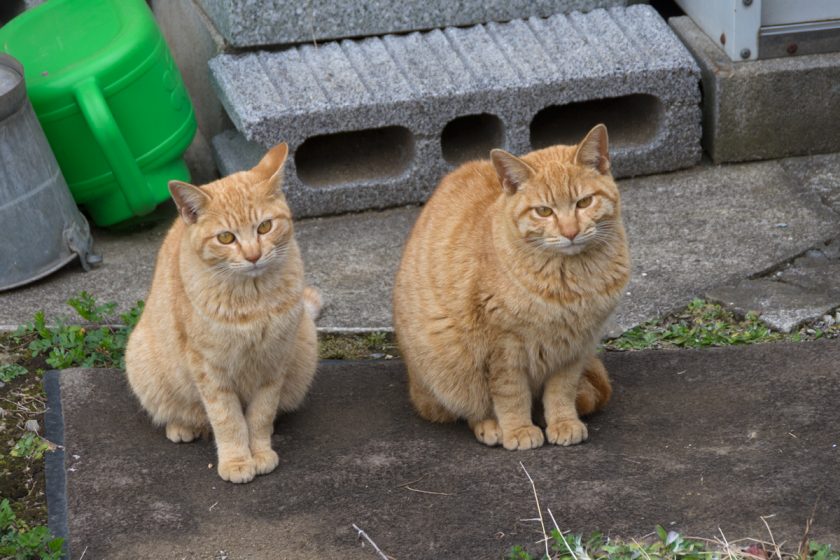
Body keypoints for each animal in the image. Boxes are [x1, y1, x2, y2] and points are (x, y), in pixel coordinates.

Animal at [124, 143, 318, 482]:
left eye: (265, 227)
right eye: (226, 237)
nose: (253, 255)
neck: (253, 299)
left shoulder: (273, 364)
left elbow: (260, 415)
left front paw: (260, 452)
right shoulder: (210, 370)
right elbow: (227, 419)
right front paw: (238, 461)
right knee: (185, 413)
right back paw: (184, 426)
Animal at [394, 124, 632, 448]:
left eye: (584, 202)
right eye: (544, 211)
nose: (570, 231)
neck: (570, 279)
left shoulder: (575, 347)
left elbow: (562, 390)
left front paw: (563, 422)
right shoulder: (503, 348)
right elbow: (511, 394)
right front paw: (518, 429)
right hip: (449, 368)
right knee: (469, 407)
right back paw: (491, 426)